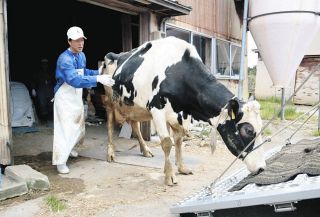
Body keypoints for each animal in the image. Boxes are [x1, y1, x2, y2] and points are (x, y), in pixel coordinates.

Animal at [102, 36, 264, 186]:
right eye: (248, 130)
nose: (261, 168)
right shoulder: (157, 110)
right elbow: (167, 143)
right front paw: (169, 176)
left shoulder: (179, 115)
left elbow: (179, 140)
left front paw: (181, 168)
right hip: (109, 101)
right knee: (109, 125)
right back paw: (110, 153)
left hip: (133, 106)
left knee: (135, 126)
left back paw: (146, 150)